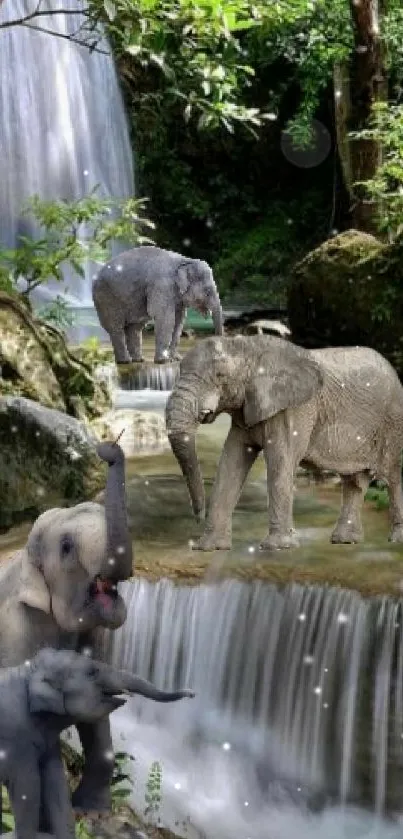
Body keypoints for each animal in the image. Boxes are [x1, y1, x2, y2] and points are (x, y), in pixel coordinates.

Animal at [0, 648, 196, 839]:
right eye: (92, 672)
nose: (193, 693)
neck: (26, 671)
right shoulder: (17, 742)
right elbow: (28, 787)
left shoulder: (47, 743)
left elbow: (55, 782)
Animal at [92, 244, 224, 366]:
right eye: (207, 291)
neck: (185, 260)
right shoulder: (162, 286)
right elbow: (166, 318)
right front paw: (164, 361)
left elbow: (179, 321)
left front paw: (176, 359)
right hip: (106, 299)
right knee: (116, 328)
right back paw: (125, 361)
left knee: (135, 328)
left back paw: (138, 360)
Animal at [166, 332, 403, 556]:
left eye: (220, 375)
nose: (197, 517)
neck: (246, 346)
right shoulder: (246, 410)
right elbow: (230, 462)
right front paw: (209, 547)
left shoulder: (295, 409)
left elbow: (280, 461)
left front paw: (277, 547)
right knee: (355, 481)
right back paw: (345, 541)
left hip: (392, 421)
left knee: (392, 476)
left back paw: (395, 539)